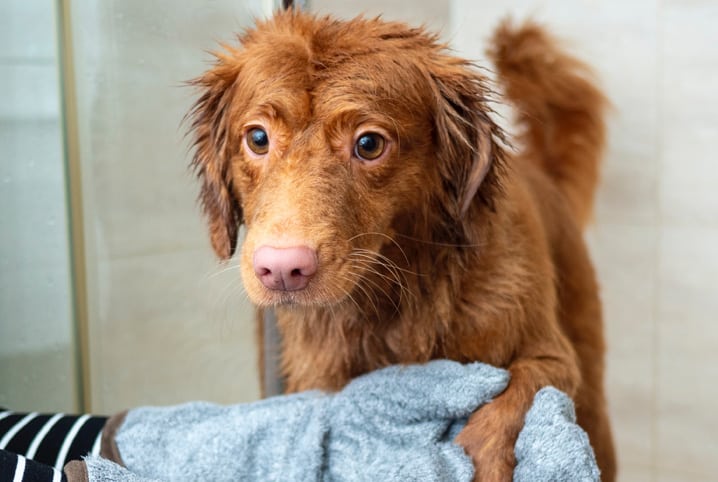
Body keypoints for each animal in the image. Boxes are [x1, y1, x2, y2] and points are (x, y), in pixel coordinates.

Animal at [187, 9, 620, 480]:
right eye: (258, 138)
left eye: (369, 144)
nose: (283, 269)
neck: (391, 304)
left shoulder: (553, 357)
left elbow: (516, 397)